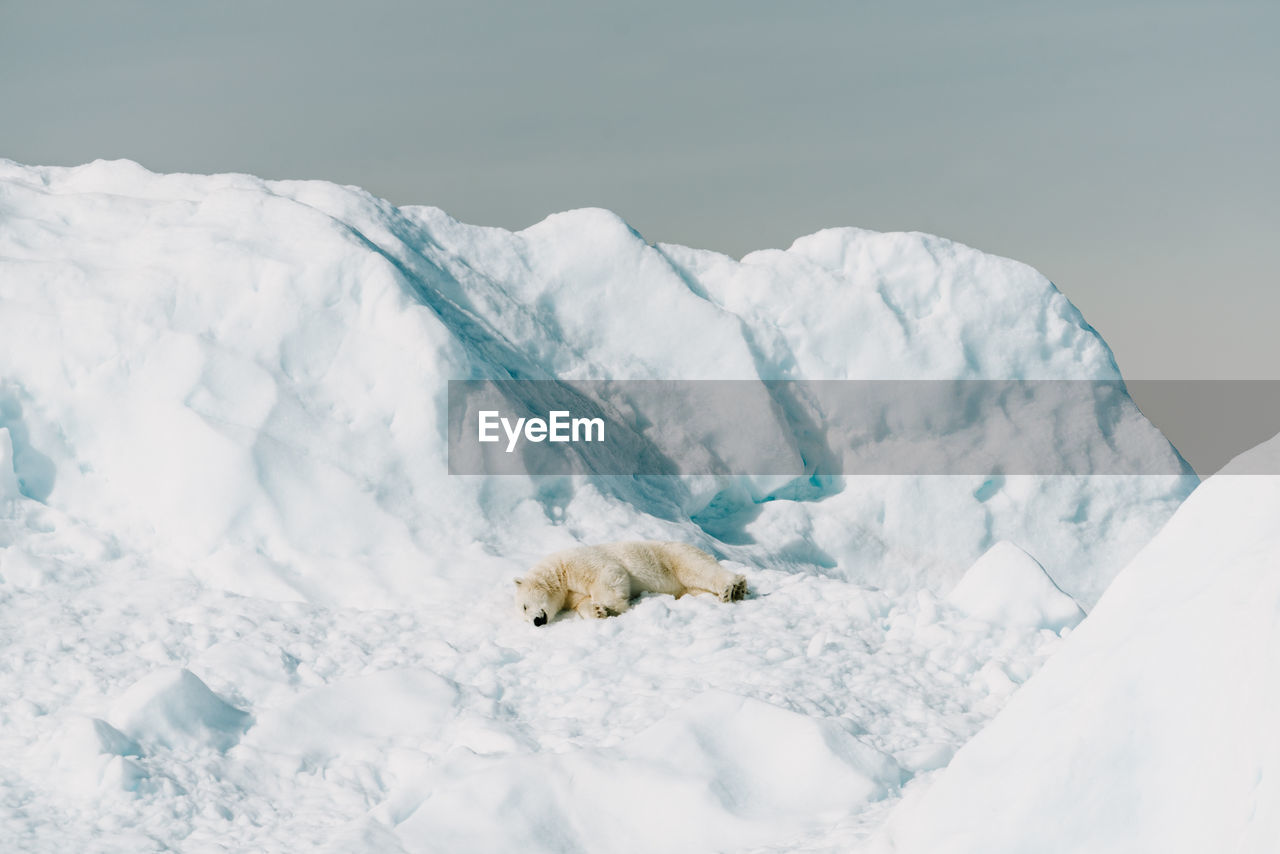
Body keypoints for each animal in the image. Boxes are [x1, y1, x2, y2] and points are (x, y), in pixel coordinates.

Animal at [514, 540, 747, 627]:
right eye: (524, 612)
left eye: (524, 606)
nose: (536, 621)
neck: (558, 571)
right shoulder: (570, 594)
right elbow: (582, 602)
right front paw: (597, 611)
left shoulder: (579, 561)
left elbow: (608, 573)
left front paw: (615, 606)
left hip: (673, 556)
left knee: (698, 568)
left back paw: (732, 588)